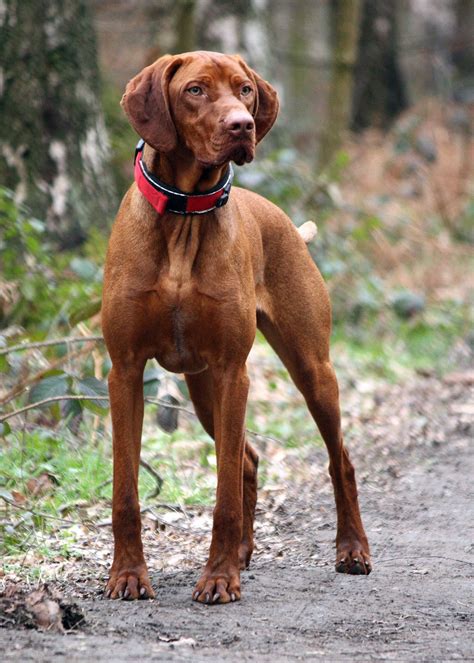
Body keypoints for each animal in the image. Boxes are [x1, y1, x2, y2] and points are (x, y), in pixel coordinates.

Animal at [103, 49, 370, 604]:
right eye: (195, 90)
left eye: (245, 89)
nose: (242, 125)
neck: (184, 218)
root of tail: (287, 223)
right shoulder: (126, 371)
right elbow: (125, 493)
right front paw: (129, 576)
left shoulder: (232, 370)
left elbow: (223, 494)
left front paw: (218, 578)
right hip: (202, 387)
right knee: (246, 460)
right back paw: (245, 554)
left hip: (311, 369)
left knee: (340, 460)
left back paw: (352, 550)